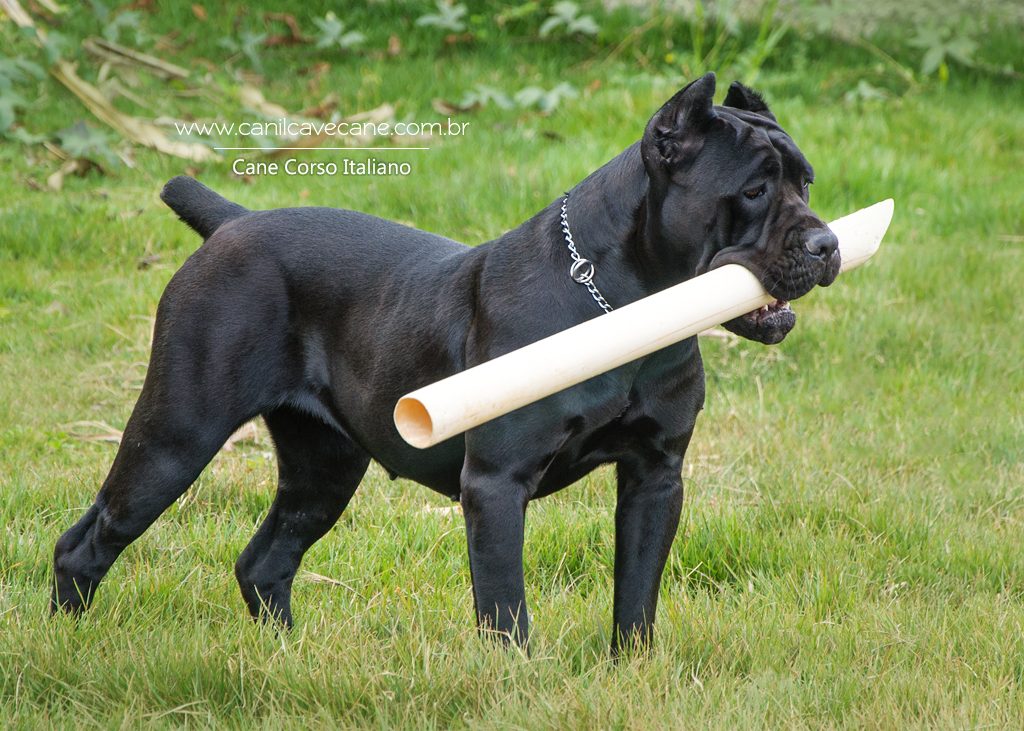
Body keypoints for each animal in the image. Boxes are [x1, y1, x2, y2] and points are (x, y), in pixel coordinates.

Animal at [51, 74, 839, 651]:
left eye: (806, 183)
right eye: (754, 190)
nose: (829, 242)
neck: (627, 305)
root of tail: (234, 223)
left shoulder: (655, 476)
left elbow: (636, 597)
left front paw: (632, 671)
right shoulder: (496, 484)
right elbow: (505, 609)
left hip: (323, 466)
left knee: (265, 560)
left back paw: (288, 656)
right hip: (176, 437)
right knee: (86, 540)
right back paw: (69, 643)